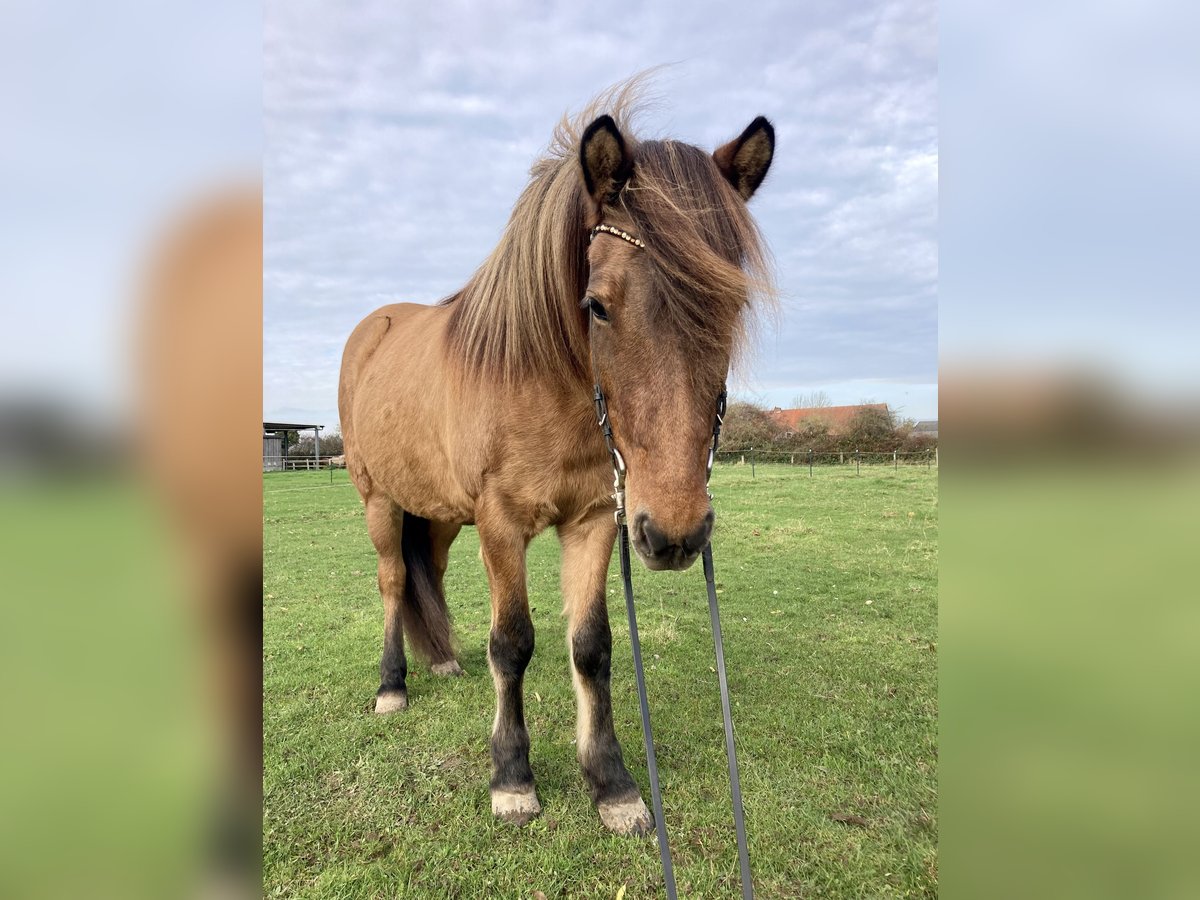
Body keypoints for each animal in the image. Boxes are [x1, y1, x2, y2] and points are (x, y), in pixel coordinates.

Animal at [338, 85, 774, 836]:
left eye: (733, 307)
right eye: (596, 306)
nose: (676, 532)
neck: (539, 379)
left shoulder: (597, 519)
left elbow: (592, 647)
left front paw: (612, 784)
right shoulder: (500, 523)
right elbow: (512, 643)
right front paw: (512, 777)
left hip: (441, 514)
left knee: (432, 574)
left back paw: (443, 661)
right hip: (380, 502)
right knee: (394, 581)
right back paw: (393, 684)